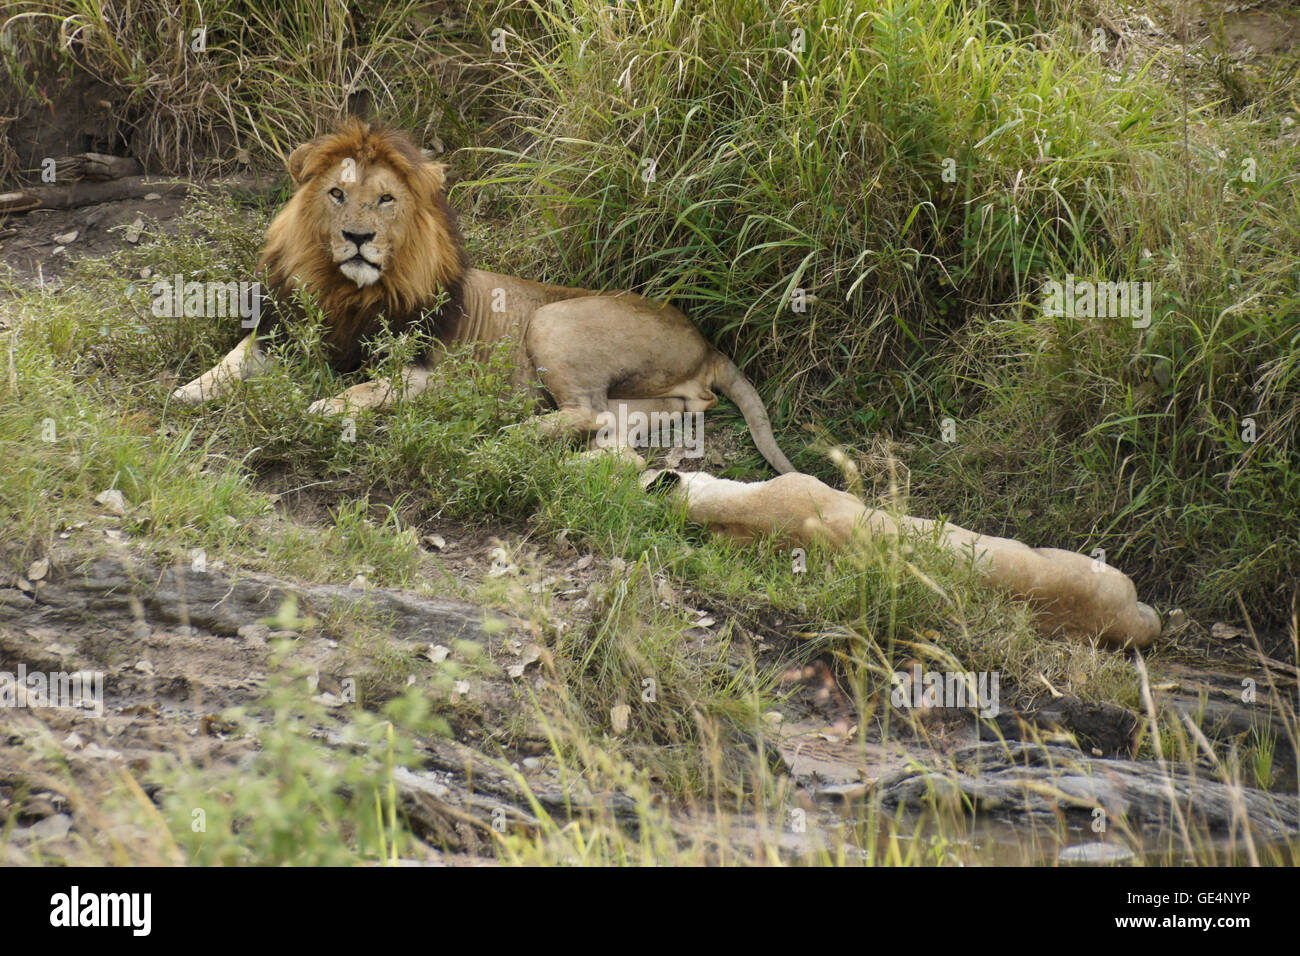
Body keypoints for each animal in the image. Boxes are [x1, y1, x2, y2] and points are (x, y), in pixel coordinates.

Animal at [171, 118, 795, 474]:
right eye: (337, 194)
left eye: (386, 200)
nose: (357, 237)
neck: (347, 291)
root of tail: (705, 341)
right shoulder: (283, 332)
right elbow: (233, 357)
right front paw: (187, 391)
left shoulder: (424, 371)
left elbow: (368, 386)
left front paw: (326, 406)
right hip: (651, 392)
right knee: (655, 412)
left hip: (552, 322)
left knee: (584, 411)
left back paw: (506, 434)